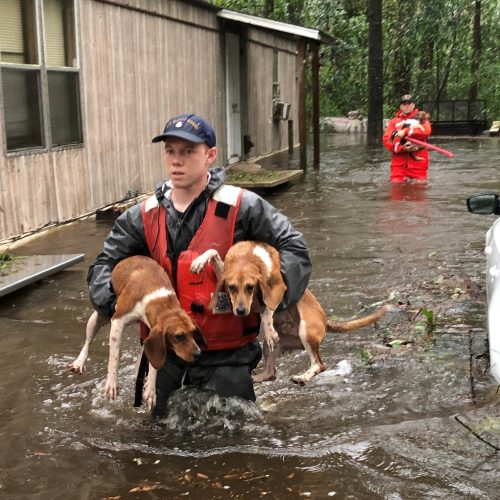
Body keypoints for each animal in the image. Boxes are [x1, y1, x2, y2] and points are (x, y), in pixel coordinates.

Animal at [70, 256, 201, 408]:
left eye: (193, 332)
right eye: (179, 336)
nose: (198, 354)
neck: (158, 298)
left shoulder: (151, 333)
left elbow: (154, 362)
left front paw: (150, 389)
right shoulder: (117, 321)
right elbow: (114, 358)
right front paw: (112, 384)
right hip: (97, 318)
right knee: (88, 341)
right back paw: (79, 362)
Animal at [189, 244, 392, 384]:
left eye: (250, 287)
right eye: (231, 288)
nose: (240, 311)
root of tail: (325, 320)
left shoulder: (275, 294)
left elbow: (268, 310)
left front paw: (269, 326)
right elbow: (214, 252)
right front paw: (199, 261)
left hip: (306, 333)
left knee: (319, 364)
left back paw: (303, 377)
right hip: (271, 347)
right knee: (271, 373)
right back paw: (257, 377)